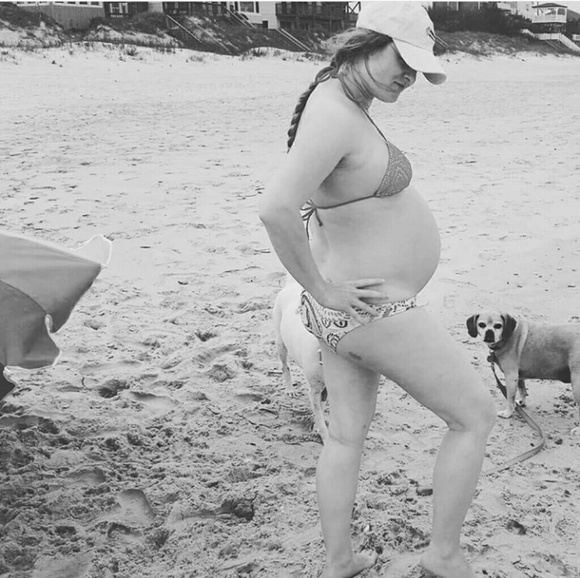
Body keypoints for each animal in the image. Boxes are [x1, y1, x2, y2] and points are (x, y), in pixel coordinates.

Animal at [272, 276, 328, 443]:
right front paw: (324, 435)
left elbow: (321, 410)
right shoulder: (315, 391)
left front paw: (316, 425)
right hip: (280, 343)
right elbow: (320, 417)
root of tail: (291, 285)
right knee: (285, 367)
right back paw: (290, 389)